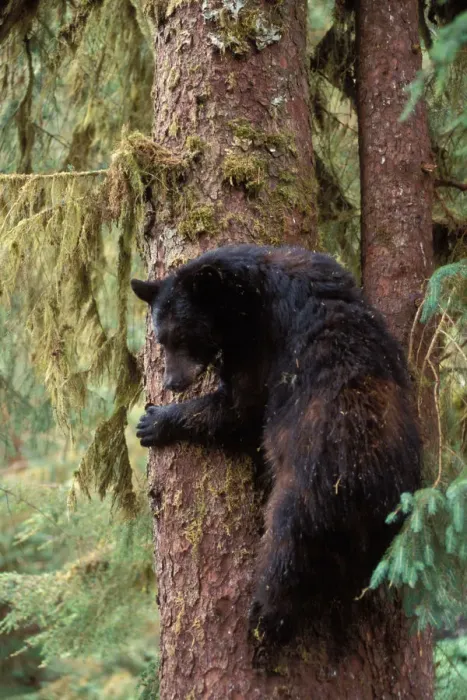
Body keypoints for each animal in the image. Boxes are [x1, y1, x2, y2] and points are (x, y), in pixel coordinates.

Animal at [131, 244, 421, 645]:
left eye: (185, 336)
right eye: (162, 338)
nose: (172, 382)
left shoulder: (260, 338)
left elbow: (243, 406)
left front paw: (155, 421)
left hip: (306, 490)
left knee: (287, 548)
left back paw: (264, 620)